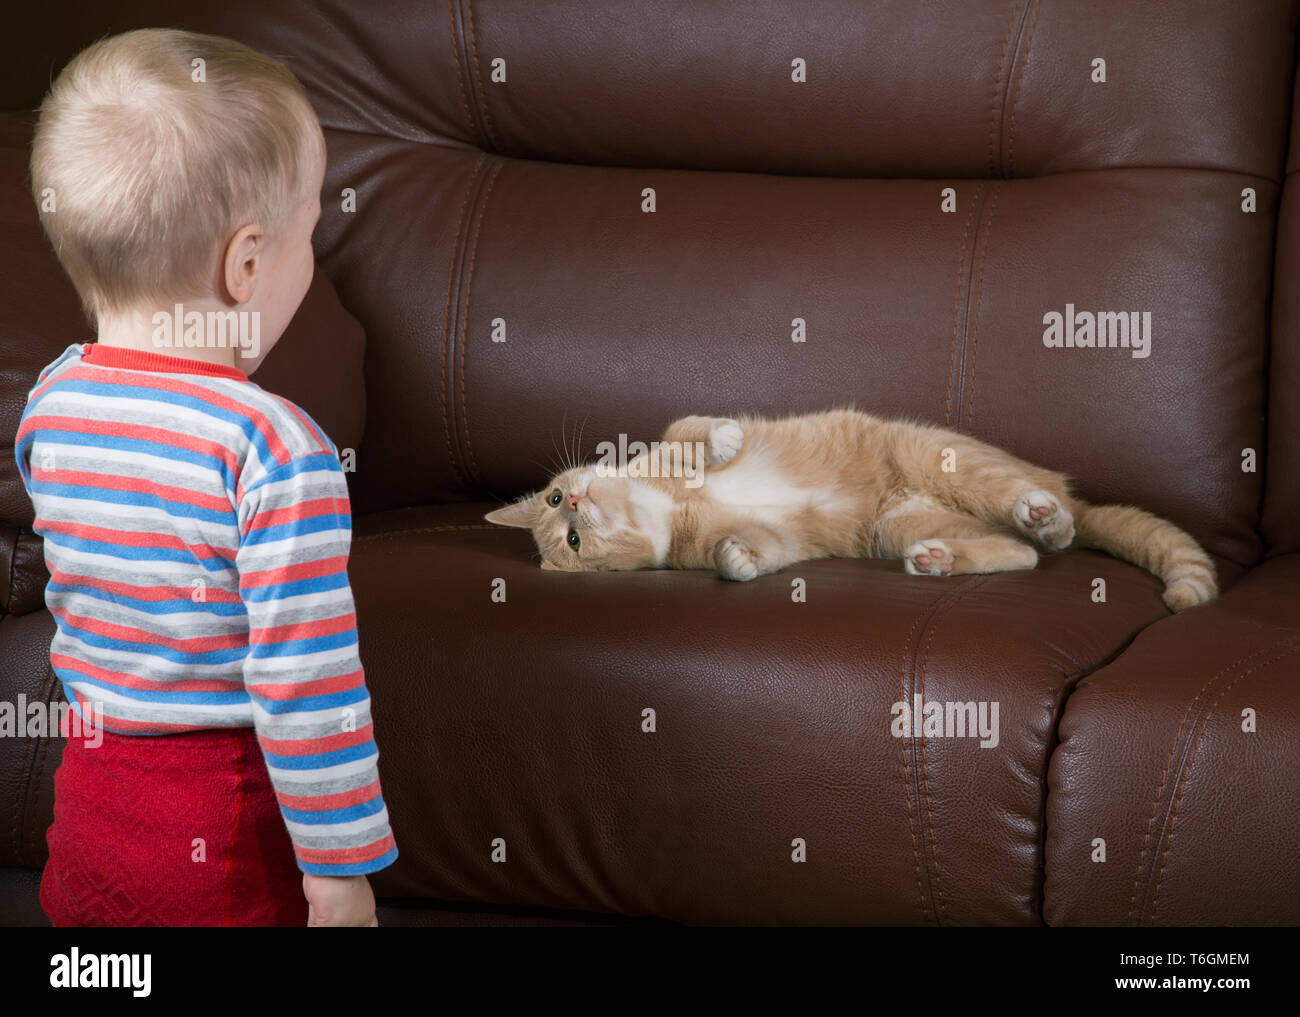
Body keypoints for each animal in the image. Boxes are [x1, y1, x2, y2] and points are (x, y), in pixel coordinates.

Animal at [486, 408, 1216, 613]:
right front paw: (735, 558)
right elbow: (755, 551)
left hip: (939, 456)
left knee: (1044, 517)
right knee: (1023, 552)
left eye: (556, 500)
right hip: (900, 524)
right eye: (571, 540)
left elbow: (686, 432)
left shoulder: (661, 445)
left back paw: (1042, 511)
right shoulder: (776, 540)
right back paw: (943, 559)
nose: (578, 501)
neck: (663, 506)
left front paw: (722, 439)